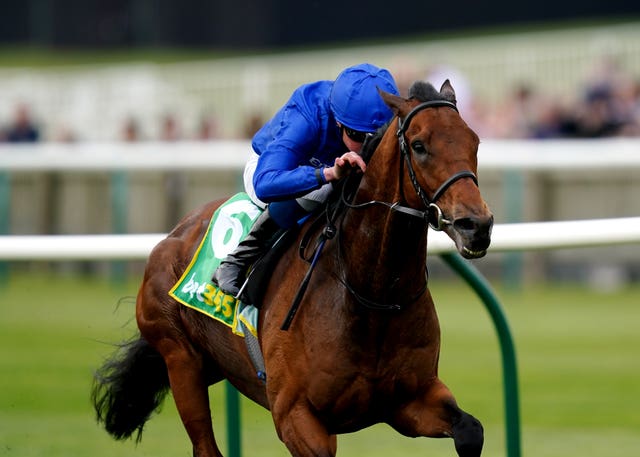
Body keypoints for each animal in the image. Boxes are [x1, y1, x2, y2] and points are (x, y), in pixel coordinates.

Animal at [92, 79, 496, 456]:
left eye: (475, 142)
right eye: (419, 145)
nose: (475, 226)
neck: (371, 295)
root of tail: (172, 235)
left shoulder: (410, 400)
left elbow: (471, 430)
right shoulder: (295, 416)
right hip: (181, 361)